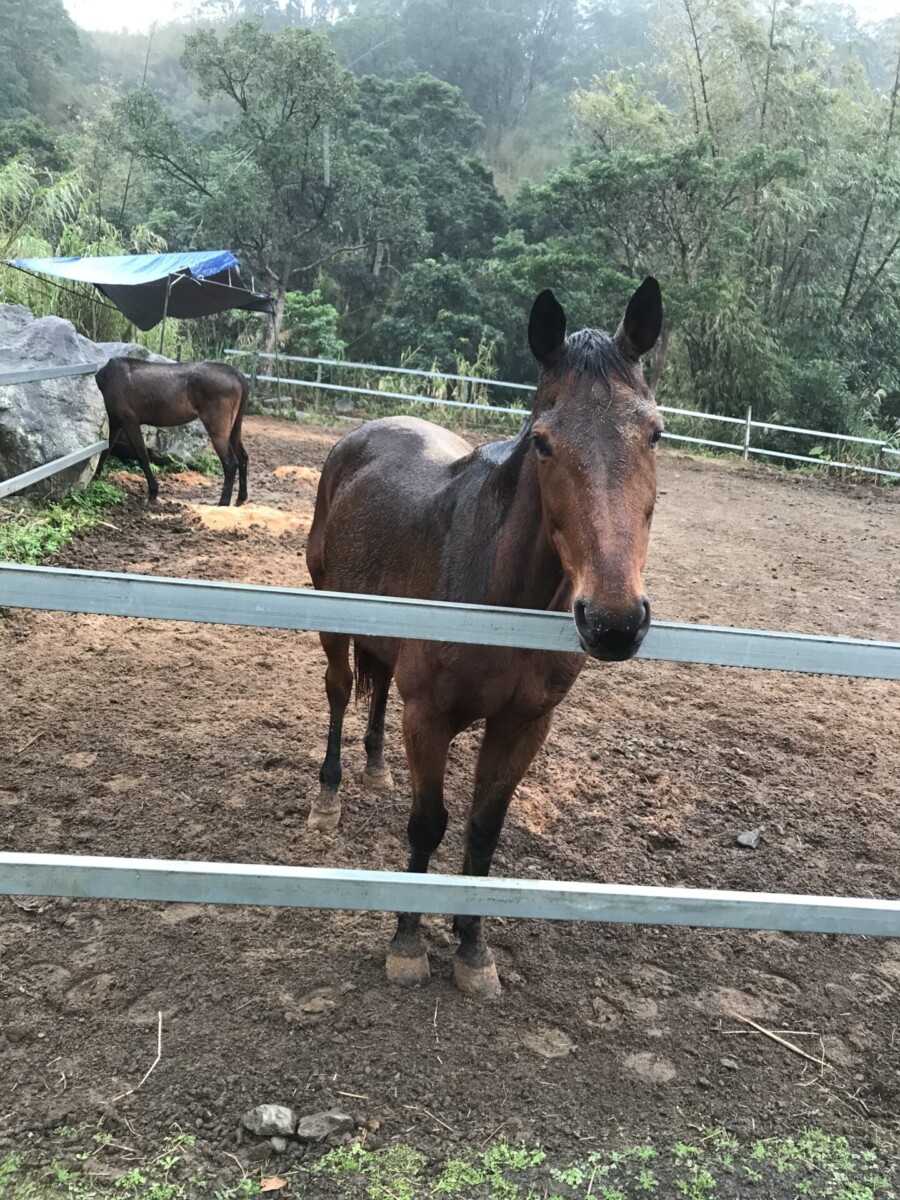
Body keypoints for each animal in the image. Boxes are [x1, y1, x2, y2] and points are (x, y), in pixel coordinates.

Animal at [94, 357, 249, 506]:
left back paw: (223, 502)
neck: (105, 379)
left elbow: (142, 456)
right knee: (242, 457)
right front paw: (95, 478)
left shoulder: (129, 422)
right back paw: (241, 498)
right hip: (234, 426)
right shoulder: (116, 422)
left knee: (230, 462)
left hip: (217, 428)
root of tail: (237, 374)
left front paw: (153, 492)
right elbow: (105, 451)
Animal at [306, 279, 664, 1000]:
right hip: (332, 619)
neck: (499, 600)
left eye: (656, 433)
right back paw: (329, 797)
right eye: (545, 442)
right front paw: (408, 943)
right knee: (339, 691)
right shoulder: (430, 718)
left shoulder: (524, 725)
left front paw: (472, 947)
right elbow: (429, 826)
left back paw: (376, 767)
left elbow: (482, 830)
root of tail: (361, 434)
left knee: (375, 689)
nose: (614, 622)